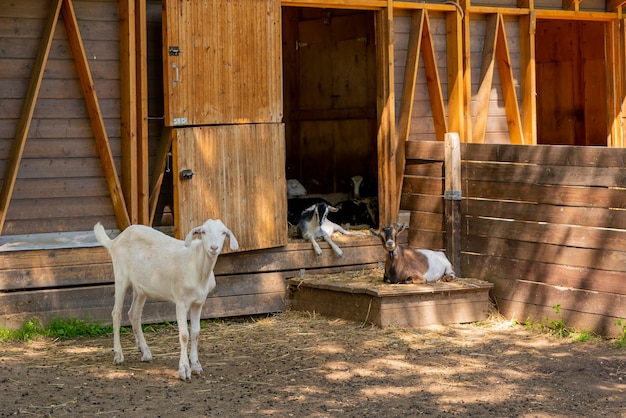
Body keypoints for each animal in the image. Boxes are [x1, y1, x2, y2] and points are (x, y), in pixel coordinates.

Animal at [92, 220, 236, 380]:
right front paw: (184, 369)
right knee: (116, 314)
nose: (214, 248)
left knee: (134, 314)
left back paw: (145, 352)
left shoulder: (198, 303)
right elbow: (184, 335)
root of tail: (115, 241)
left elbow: (195, 332)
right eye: (203, 232)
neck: (197, 265)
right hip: (121, 276)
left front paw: (196, 366)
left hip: (141, 287)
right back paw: (118, 355)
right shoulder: (181, 302)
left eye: (223, 233)